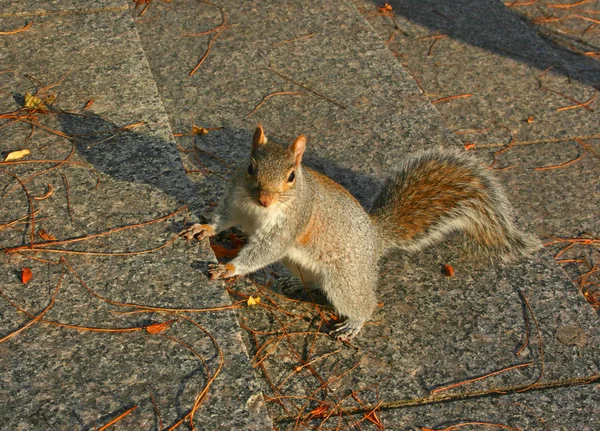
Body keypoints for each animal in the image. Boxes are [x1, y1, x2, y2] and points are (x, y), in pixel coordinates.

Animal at [182, 125, 540, 340]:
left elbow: (265, 249)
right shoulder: (236, 201)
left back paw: (353, 324)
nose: (265, 198)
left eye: (292, 176)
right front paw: (203, 227)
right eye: (250, 167)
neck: (258, 210)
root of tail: (375, 237)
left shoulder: (291, 223)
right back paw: (296, 285)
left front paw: (229, 267)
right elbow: (224, 218)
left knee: (362, 303)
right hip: (302, 265)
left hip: (346, 278)